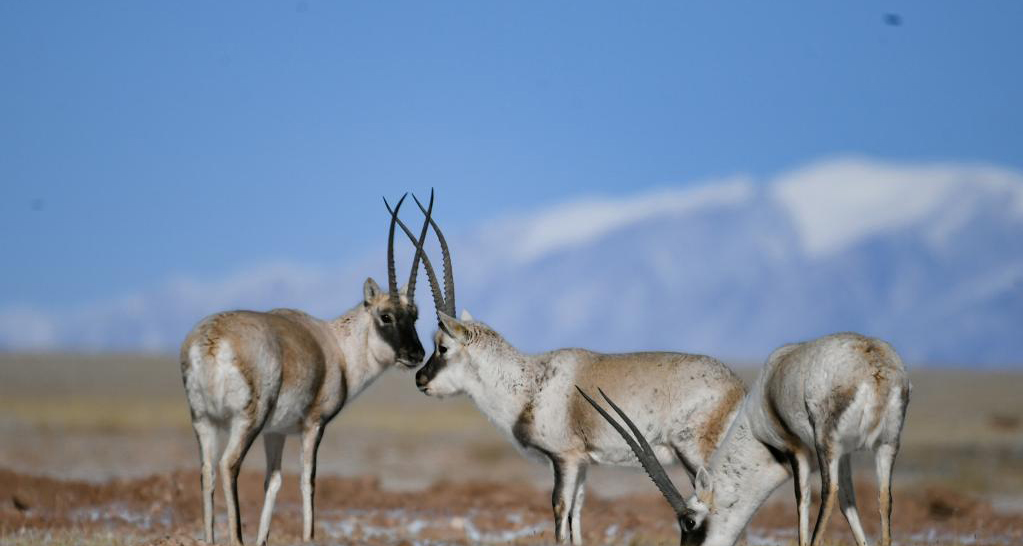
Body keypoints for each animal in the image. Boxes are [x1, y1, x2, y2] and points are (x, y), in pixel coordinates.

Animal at [180, 195, 435, 543]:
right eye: (386, 316)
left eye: (415, 315)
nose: (416, 354)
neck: (337, 347)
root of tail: (212, 339)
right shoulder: (314, 426)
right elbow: (307, 479)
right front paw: (308, 536)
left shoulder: (275, 432)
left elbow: (273, 481)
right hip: (246, 422)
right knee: (228, 465)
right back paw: (236, 537)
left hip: (204, 420)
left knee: (206, 471)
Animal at [386, 198, 748, 546]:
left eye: (442, 347)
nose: (420, 379)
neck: (529, 383)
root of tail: (738, 386)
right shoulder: (584, 463)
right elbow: (577, 515)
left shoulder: (564, 459)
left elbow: (561, 511)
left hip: (695, 455)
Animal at [585, 331, 912, 546]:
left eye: (689, 522)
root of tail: (875, 365)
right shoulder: (845, 455)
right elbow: (849, 502)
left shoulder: (796, 450)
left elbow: (803, 499)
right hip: (886, 444)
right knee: (884, 497)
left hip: (826, 443)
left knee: (827, 493)